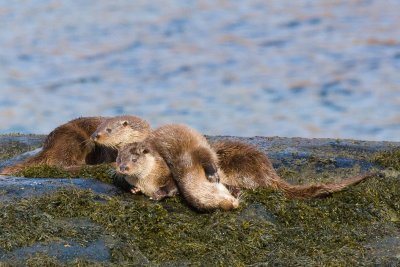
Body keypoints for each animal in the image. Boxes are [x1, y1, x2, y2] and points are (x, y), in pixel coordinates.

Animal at [0, 115, 151, 176]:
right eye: (100, 128)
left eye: (109, 129)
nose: (95, 135)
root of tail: (49, 145)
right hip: (75, 138)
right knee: (64, 164)